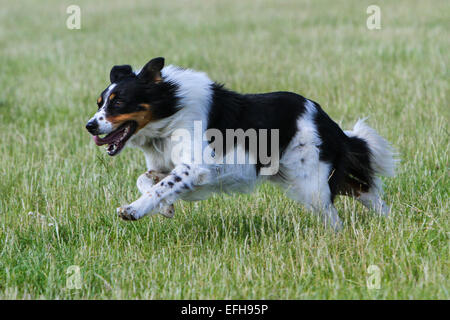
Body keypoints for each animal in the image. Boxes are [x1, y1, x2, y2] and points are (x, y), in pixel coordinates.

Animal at [86, 57, 396, 230]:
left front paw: (133, 210)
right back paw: (387, 220)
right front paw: (165, 208)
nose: (90, 126)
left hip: (312, 185)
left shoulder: (194, 167)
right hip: (299, 177)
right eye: (100, 103)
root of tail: (325, 118)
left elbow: (161, 187)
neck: (170, 112)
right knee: (364, 190)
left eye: (118, 103)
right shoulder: (167, 166)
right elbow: (147, 180)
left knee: (336, 216)